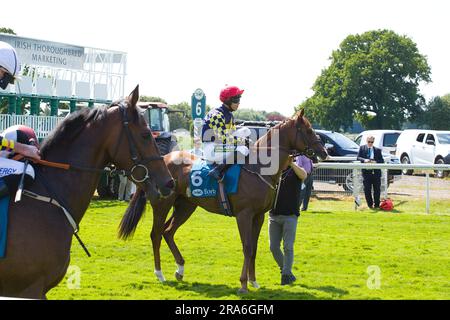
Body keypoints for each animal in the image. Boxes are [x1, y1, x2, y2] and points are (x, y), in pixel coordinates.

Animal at [118, 110, 326, 296]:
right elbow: (247, 246)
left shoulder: (259, 215)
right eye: (308, 130)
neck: (258, 168)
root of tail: (163, 160)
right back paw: (160, 274)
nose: (323, 152)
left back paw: (180, 269)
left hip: (186, 205)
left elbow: (254, 248)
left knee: (168, 231)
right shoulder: (244, 214)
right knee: (156, 234)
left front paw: (254, 282)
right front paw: (243, 284)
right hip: (163, 204)